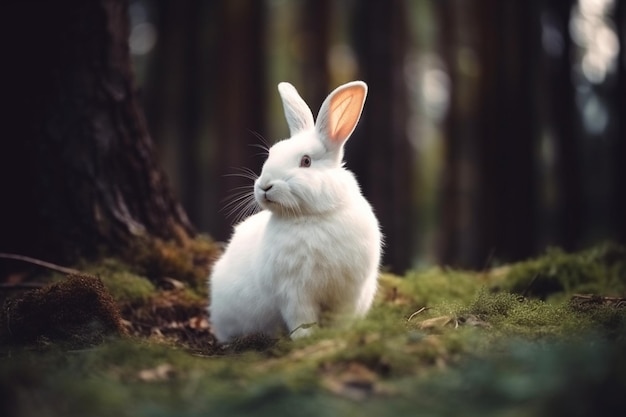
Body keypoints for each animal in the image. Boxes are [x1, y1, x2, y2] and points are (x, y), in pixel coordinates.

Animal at [210, 80, 380, 342]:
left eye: (306, 161)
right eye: (271, 154)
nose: (264, 186)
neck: (311, 217)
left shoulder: (349, 292)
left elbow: (342, 317)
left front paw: (339, 336)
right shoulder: (294, 293)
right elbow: (301, 320)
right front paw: (306, 339)